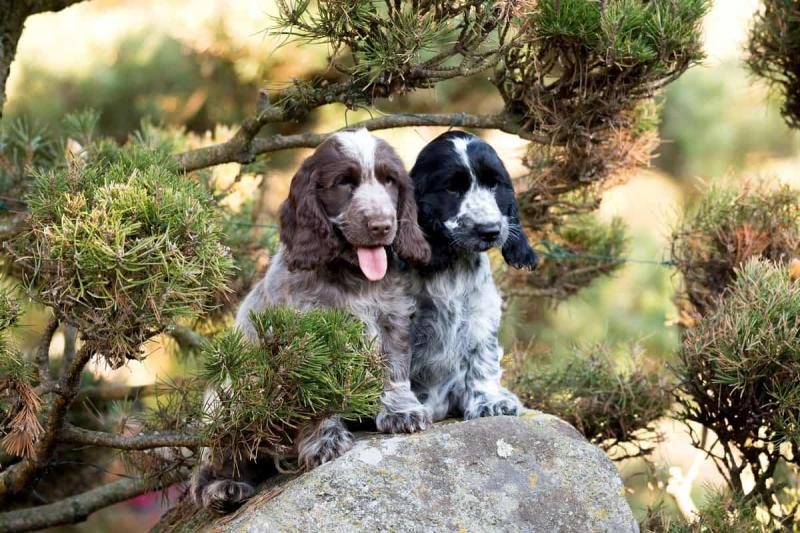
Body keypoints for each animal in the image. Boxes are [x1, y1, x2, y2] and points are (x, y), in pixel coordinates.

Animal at [193, 128, 432, 512]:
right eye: (343, 184)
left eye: (389, 181)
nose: (382, 226)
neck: (353, 276)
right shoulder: (305, 345)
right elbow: (314, 400)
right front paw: (325, 442)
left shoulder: (392, 317)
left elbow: (395, 370)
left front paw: (402, 412)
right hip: (230, 401)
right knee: (206, 471)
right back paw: (223, 489)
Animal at [410, 130, 536, 420]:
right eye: (452, 189)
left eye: (494, 185)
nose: (490, 230)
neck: (452, 262)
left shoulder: (481, 312)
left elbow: (482, 360)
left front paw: (490, 402)